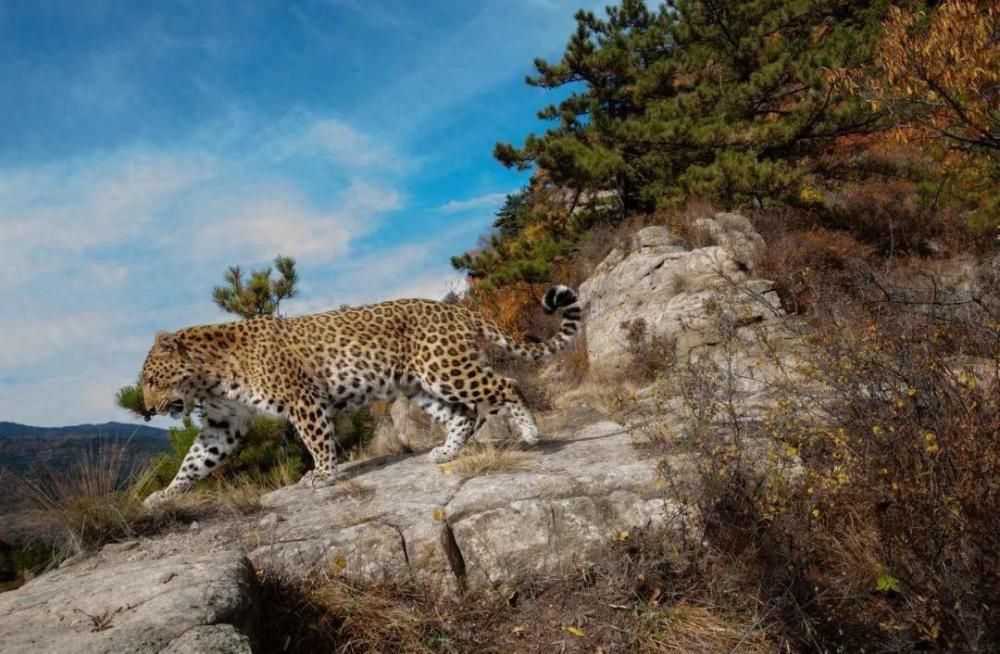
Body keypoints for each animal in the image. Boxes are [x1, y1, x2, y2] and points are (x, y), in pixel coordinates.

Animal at [137, 286, 584, 508]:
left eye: (152, 380)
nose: (148, 409)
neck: (210, 376)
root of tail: (456, 309)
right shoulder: (223, 423)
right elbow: (195, 460)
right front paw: (164, 495)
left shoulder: (302, 398)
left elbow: (317, 440)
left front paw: (322, 475)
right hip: (418, 384)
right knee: (462, 415)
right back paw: (445, 452)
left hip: (445, 368)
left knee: (504, 385)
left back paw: (530, 433)